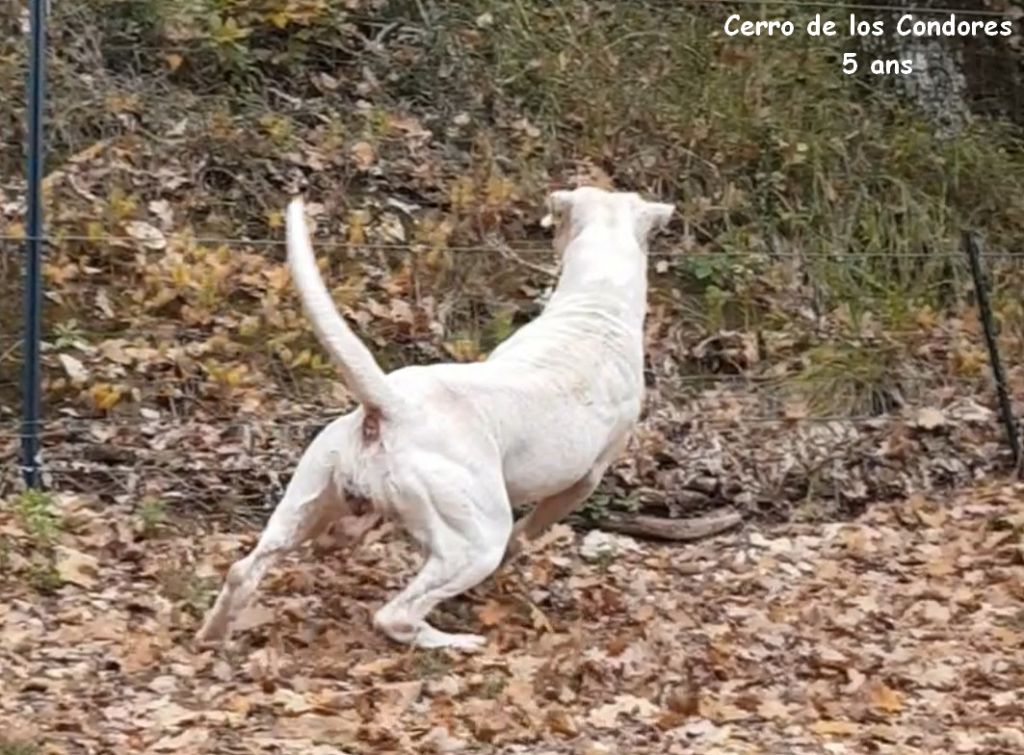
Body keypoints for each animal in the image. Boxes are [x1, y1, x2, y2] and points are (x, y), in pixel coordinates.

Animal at [195, 184, 675, 647]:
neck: (597, 301)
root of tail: (391, 405)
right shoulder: (584, 480)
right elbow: (528, 531)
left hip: (307, 500)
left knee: (244, 570)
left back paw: (213, 635)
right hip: (477, 539)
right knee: (397, 615)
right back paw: (457, 641)